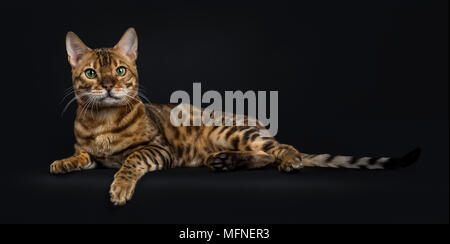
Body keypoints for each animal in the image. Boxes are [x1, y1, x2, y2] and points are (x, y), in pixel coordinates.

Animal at [51, 28, 420, 206]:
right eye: (90, 74)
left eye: (121, 71)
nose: (109, 85)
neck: (102, 123)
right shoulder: (91, 152)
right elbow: (81, 155)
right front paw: (63, 163)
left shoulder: (157, 149)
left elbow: (130, 162)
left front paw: (120, 187)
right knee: (265, 156)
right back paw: (226, 161)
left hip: (230, 131)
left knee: (281, 150)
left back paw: (287, 160)